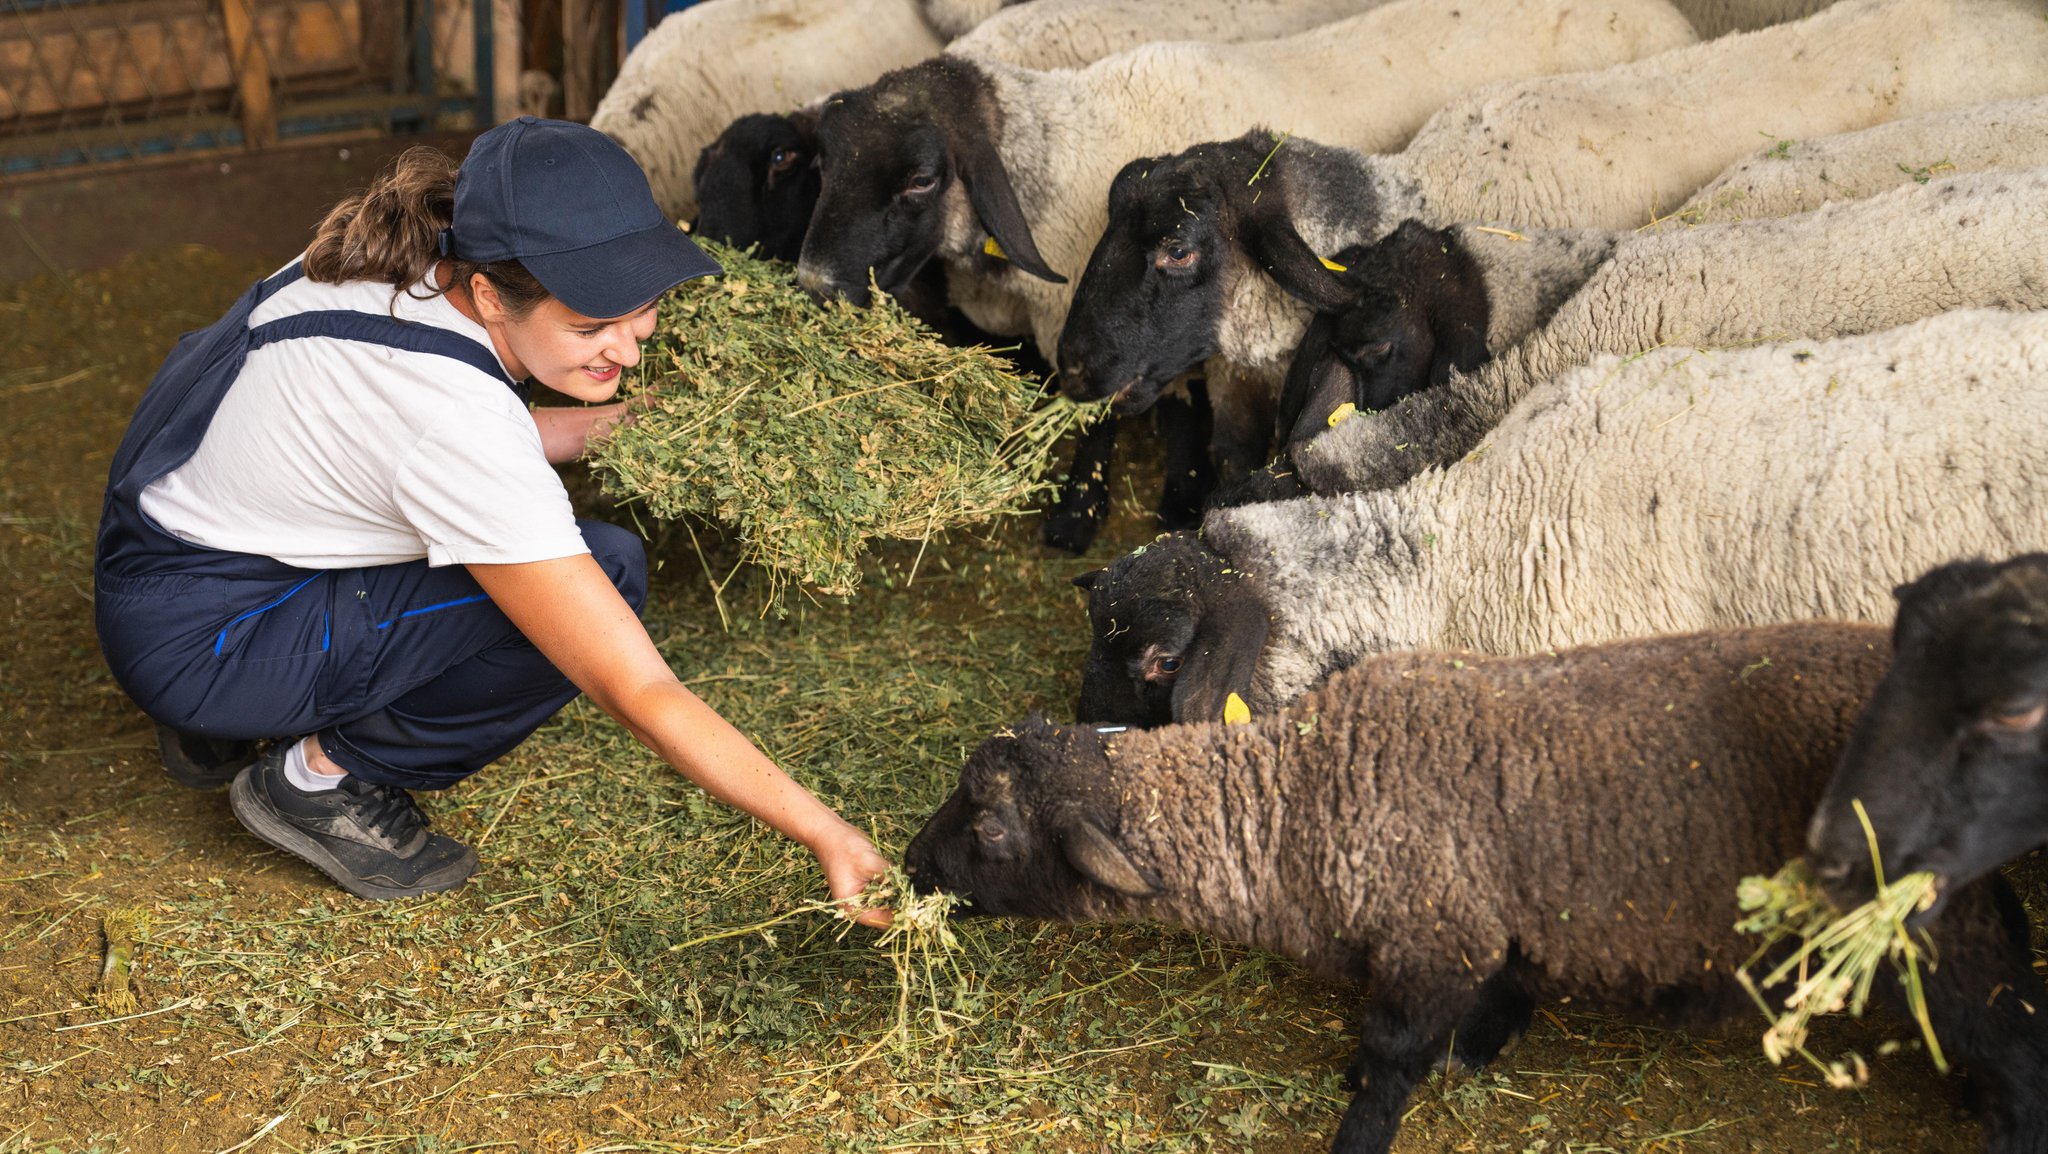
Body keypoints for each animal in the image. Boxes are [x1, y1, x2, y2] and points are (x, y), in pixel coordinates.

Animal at [906, 624, 2048, 1154]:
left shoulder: (1432, 936)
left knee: (2006, 1021)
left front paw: (1360, 1122)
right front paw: (1480, 1044)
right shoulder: (1490, 923)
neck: (1298, 796)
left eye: (992, 825)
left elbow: (1388, 1057)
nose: (912, 865)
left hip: (1932, 926)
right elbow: (1496, 993)